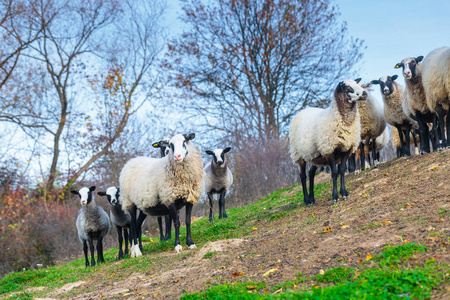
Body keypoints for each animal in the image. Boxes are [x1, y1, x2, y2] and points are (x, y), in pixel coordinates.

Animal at [290, 77, 368, 205]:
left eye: (358, 84)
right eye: (348, 88)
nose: (365, 93)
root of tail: (303, 110)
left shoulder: (346, 149)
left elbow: (342, 170)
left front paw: (344, 193)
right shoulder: (329, 149)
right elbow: (334, 173)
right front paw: (335, 196)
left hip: (316, 155)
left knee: (311, 173)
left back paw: (312, 198)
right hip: (298, 154)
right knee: (302, 176)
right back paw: (307, 200)